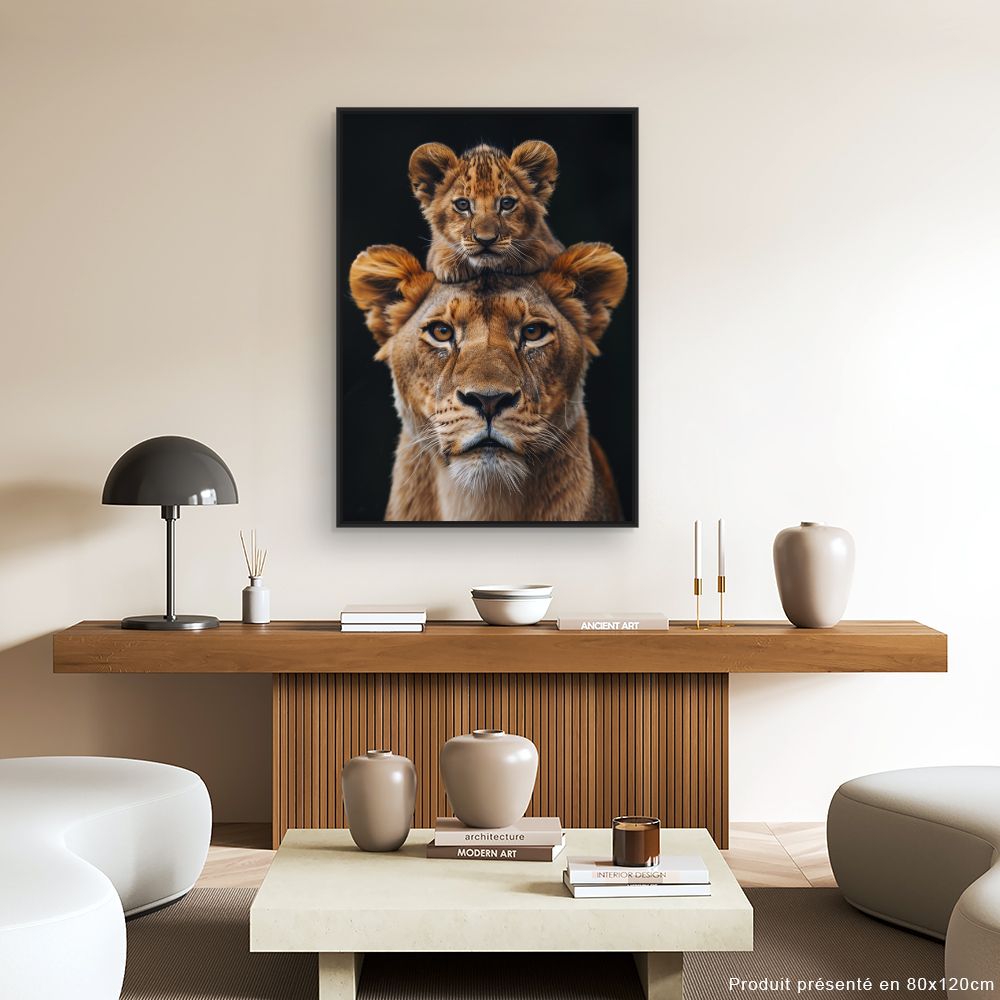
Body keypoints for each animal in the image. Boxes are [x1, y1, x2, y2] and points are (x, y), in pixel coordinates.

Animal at [408, 141, 564, 283]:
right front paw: (451, 264)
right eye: (462, 204)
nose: (486, 240)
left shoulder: (555, 247)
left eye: (507, 203)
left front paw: (525, 257)